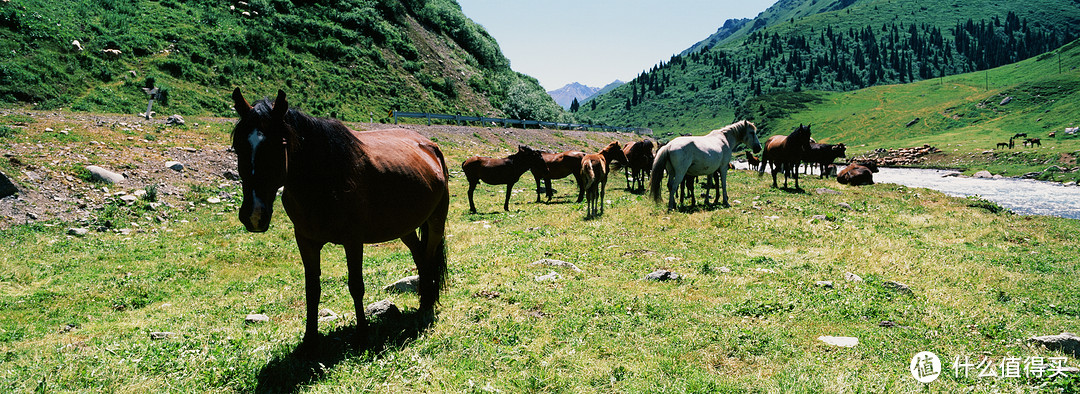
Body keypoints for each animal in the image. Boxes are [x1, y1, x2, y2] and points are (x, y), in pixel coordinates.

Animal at [227, 89, 447, 349]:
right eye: (238, 146)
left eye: (278, 145)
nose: (255, 214)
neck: (325, 181)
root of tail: (430, 145)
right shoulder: (306, 241)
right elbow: (312, 289)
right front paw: (310, 339)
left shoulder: (353, 241)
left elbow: (356, 286)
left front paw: (362, 334)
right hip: (406, 228)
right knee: (420, 257)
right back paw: (423, 302)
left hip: (436, 221)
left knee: (429, 256)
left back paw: (428, 304)